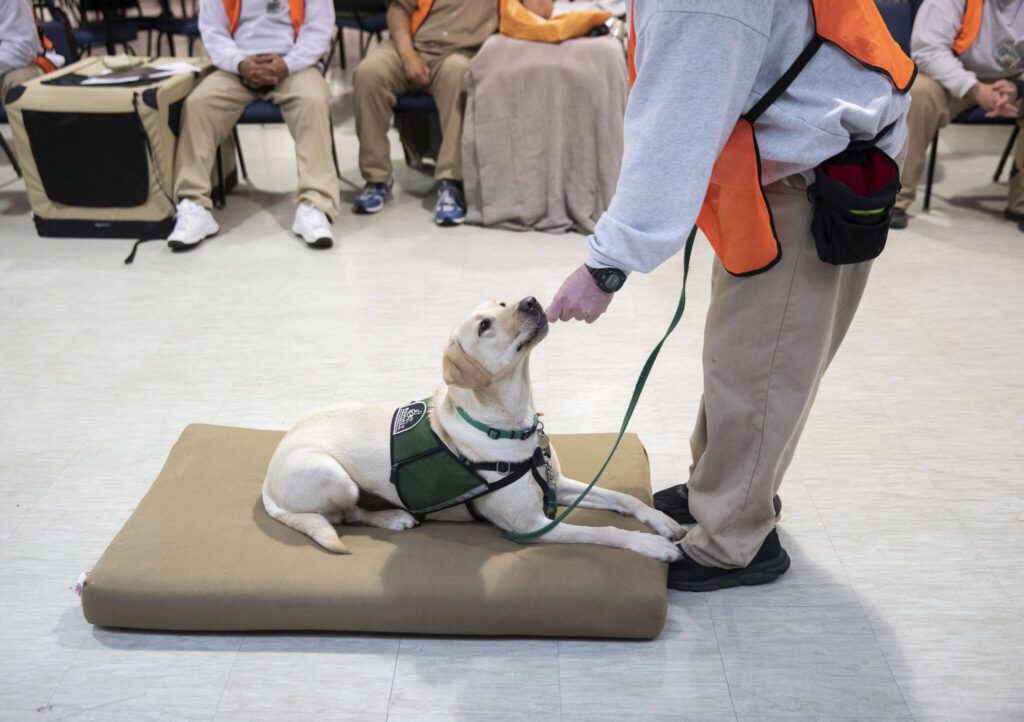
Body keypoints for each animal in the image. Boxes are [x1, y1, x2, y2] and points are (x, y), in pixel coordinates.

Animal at [260, 294, 684, 561]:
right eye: (484, 326)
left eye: (503, 303)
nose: (531, 300)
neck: (509, 424)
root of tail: (266, 481)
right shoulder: (532, 525)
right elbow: (606, 531)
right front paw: (653, 546)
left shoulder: (557, 483)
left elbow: (624, 498)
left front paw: (664, 522)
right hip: (332, 476)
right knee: (346, 516)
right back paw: (394, 518)